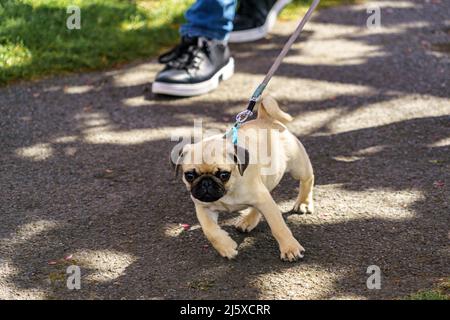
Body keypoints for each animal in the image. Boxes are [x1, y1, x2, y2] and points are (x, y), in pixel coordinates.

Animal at [172, 94, 316, 260]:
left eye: (223, 174)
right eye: (189, 175)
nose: (206, 183)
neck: (228, 192)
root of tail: (265, 118)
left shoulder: (264, 201)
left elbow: (278, 226)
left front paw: (290, 248)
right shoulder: (203, 207)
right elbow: (210, 231)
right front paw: (226, 247)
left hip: (297, 166)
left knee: (307, 179)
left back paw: (303, 202)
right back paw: (248, 220)